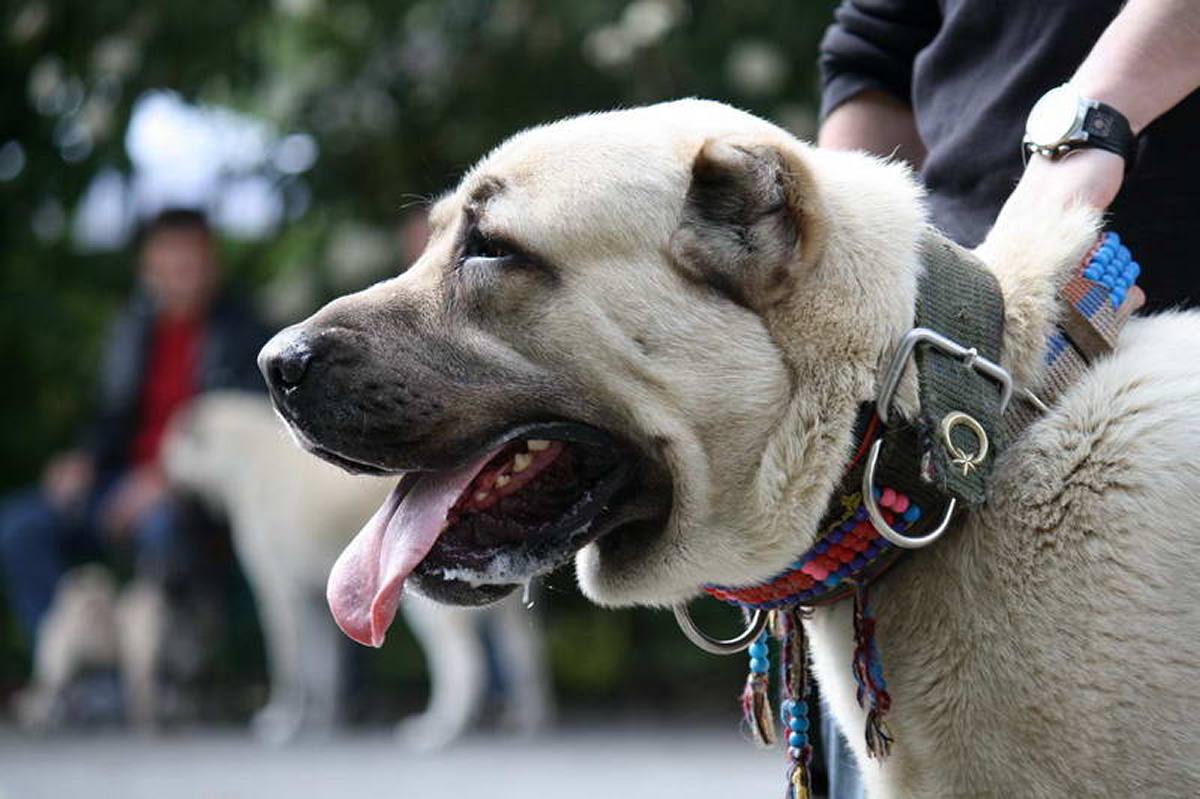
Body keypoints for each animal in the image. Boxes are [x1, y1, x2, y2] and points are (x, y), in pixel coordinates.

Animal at [160, 388, 552, 743]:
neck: (245, 460)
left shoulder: (281, 595)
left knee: (467, 664)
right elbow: (324, 669)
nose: (159, 472)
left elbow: (292, 665)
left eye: (173, 443)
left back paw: (439, 729)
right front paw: (323, 720)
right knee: (523, 655)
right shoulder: (317, 600)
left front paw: (285, 721)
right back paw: (528, 719)